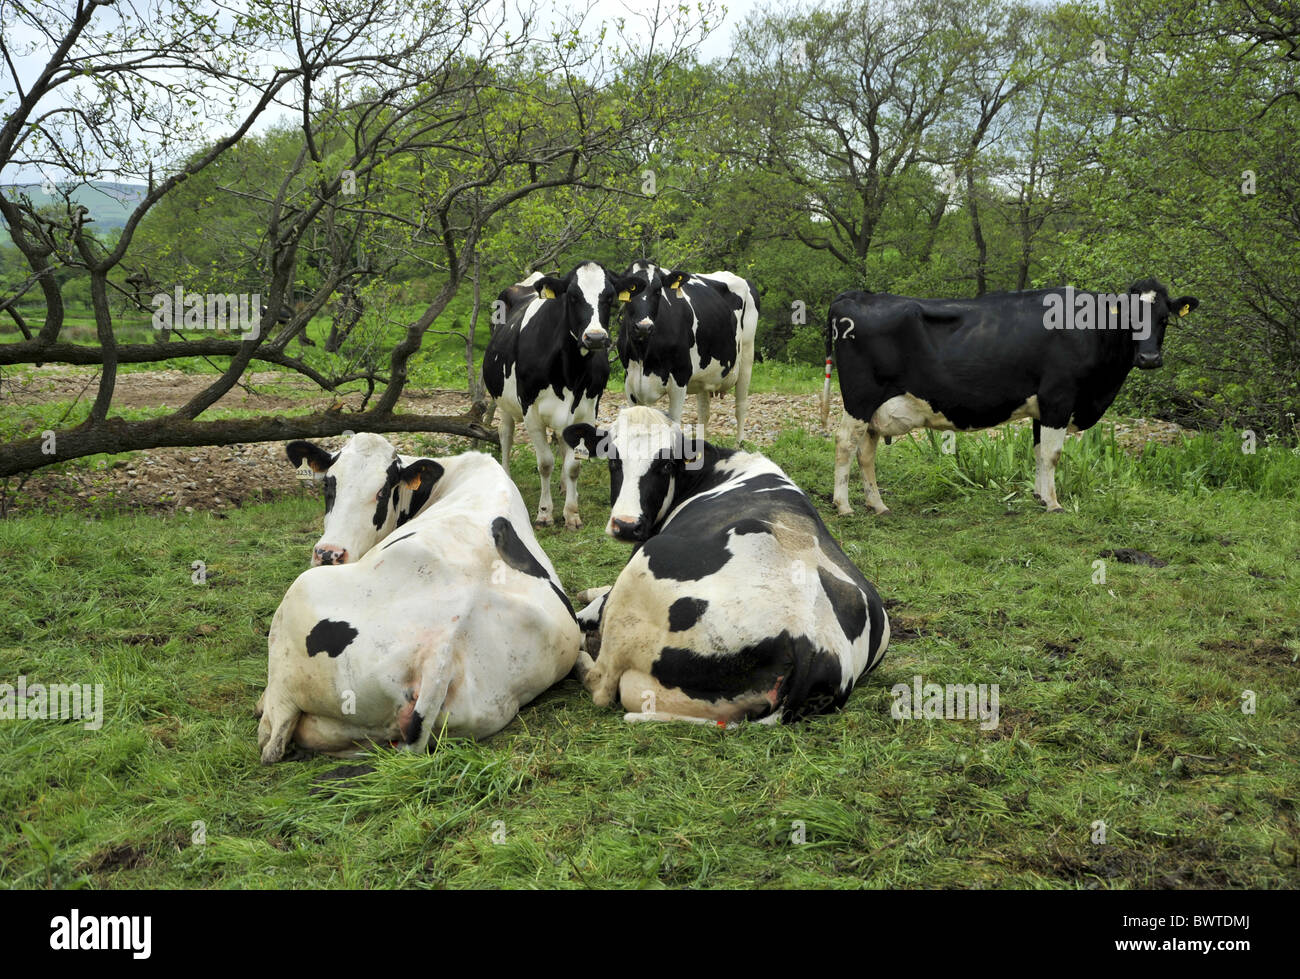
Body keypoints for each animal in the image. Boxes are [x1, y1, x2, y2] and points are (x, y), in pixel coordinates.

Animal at [256, 434, 577, 764]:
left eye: (383, 491)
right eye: (329, 485)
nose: (328, 554)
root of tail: (441, 652)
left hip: (299, 600)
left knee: (275, 734)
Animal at [480, 261, 642, 527]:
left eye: (609, 297)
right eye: (573, 296)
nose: (595, 337)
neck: (570, 371)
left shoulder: (588, 410)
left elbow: (573, 465)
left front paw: (571, 513)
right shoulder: (531, 412)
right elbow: (545, 463)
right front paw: (545, 513)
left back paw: (566, 487)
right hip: (503, 402)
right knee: (505, 435)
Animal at [564, 405, 889, 728]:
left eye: (666, 466)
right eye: (613, 460)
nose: (627, 525)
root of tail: (810, 643)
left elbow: (589, 610)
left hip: (641, 578)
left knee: (602, 682)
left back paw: (580, 656)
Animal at [618, 261, 759, 442]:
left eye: (658, 290)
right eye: (631, 290)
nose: (643, 327)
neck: (644, 358)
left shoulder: (680, 377)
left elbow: (674, 424)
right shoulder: (630, 382)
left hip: (747, 355)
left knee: (740, 406)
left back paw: (739, 443)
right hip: (705, 374)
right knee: (704, 413)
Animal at [826, 278, 1201, 514]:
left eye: (1163, 319)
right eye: (1130, 319)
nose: (1149, 358)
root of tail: (855, 295)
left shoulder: (1042, 407)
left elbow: (1038, 451)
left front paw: (1039, 496)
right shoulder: (1058, 397)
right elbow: (1052, 454)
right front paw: (1054, 503)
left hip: (875, 409)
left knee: (866, 452)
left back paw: (877, 505)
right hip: (859, 399)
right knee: (845, 443)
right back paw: (843, 505)